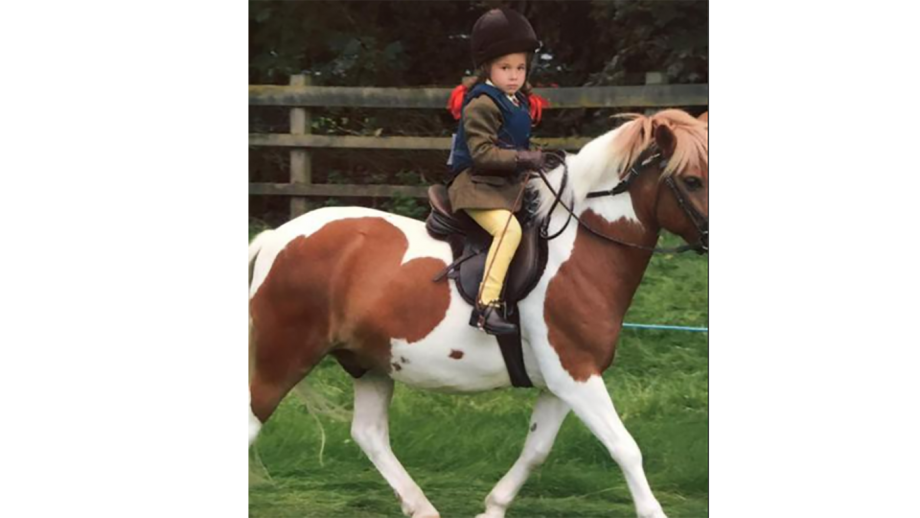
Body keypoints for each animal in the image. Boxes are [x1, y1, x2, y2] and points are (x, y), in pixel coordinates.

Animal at [248, 108, 708, 518]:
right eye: (692, 180)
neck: (579, 251)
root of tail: (276, 238)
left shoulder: (563, 382)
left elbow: (537, 449)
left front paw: (493, 507)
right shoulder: (576, 374)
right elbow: (625, 448)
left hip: (371, 363)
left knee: (369, 434)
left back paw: (421, 507)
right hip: (280, 358)